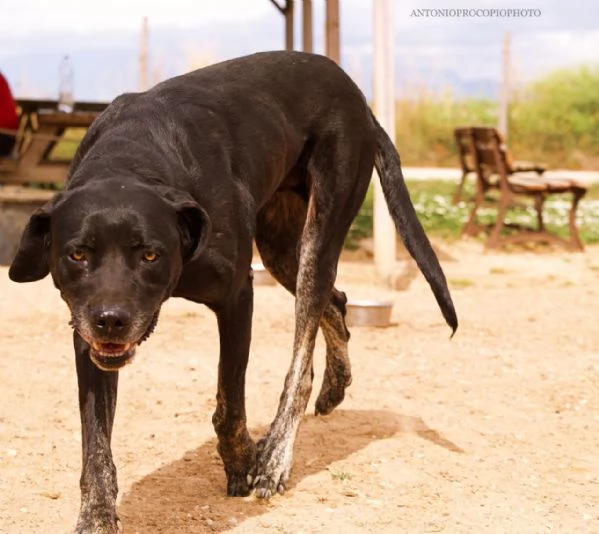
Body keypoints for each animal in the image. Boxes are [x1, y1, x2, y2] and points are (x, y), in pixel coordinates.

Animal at [8, 51, 460, 534]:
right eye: (77, 254)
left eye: (150, 254)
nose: (111, 320)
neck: (134, 158)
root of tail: (360, 100)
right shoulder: (85, 334)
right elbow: (95, 443)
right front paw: (96, 515)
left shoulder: (237, 297)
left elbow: (231, 403)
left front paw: (243, 462)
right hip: (281, 248)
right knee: (336, 303)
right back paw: (335, 386)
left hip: (318, 235)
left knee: (301, 360)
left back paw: (276, 456)